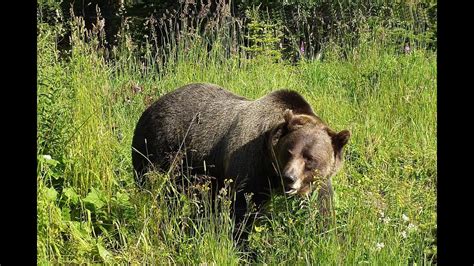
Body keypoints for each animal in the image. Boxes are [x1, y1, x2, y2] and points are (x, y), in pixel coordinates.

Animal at [131, 83, 350, 241]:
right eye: (289, 152)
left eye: (310, 158)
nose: (289, 178)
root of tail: (151, 106)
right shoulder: (250, 165)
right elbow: (241, 209)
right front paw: (241, 243)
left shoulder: (319, 182)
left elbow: (323, 208)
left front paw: (328, 236)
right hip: (158, 150)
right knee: (159, 192)